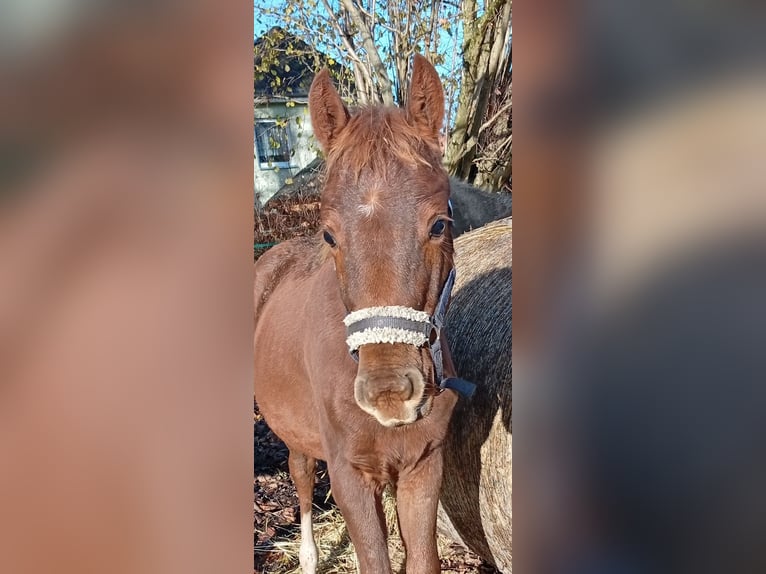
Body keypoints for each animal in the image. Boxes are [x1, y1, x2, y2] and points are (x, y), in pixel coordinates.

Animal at [254, 54, 470, 574]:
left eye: (440, 224)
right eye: (330, 235)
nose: (390, 393)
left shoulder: (422, 469)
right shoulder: (350, 476)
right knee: (302, 477)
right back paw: (308, 556)